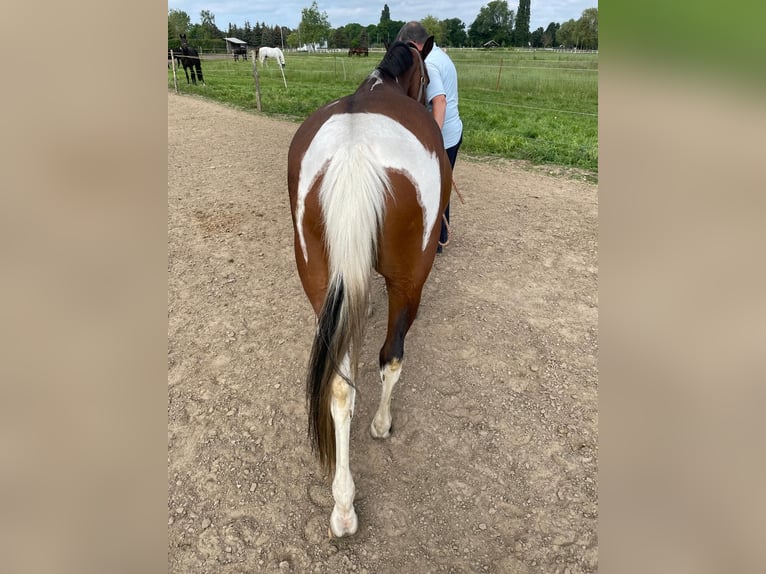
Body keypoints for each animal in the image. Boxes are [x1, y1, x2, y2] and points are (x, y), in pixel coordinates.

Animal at [288, 38, 450, 536]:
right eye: (427, 75)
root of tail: (353, 152)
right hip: (410, 280)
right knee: (390, 358)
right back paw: (380, 424)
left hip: (316, 278)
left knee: (340, 387)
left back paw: (342, 503)